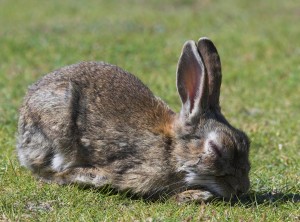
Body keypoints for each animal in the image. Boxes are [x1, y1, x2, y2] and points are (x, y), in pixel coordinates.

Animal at [16, 37, 251, 202]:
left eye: (246, 141)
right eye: (217, 149)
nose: (242, 188)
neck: (171, 148)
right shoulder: (136, 173)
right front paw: (194, 195)